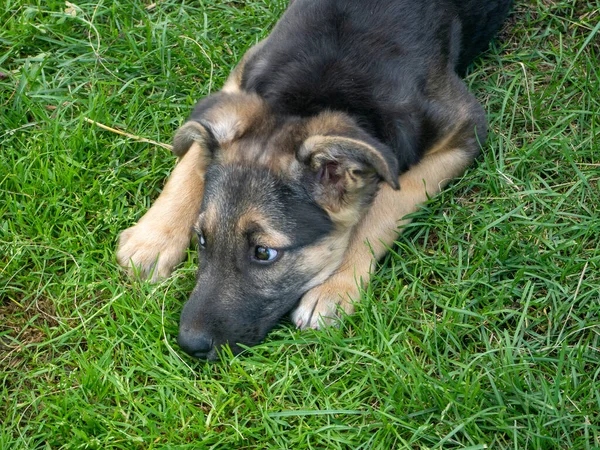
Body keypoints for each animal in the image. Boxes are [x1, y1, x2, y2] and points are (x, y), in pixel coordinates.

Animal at [116, 0, 510, 358]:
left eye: (264, 253)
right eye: (201, 238)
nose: (190, 345)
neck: (316, 93)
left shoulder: (465, 127)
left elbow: (386, 203)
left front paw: (335, 286)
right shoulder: (243, 74)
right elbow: (194, 153)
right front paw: (155, 238)